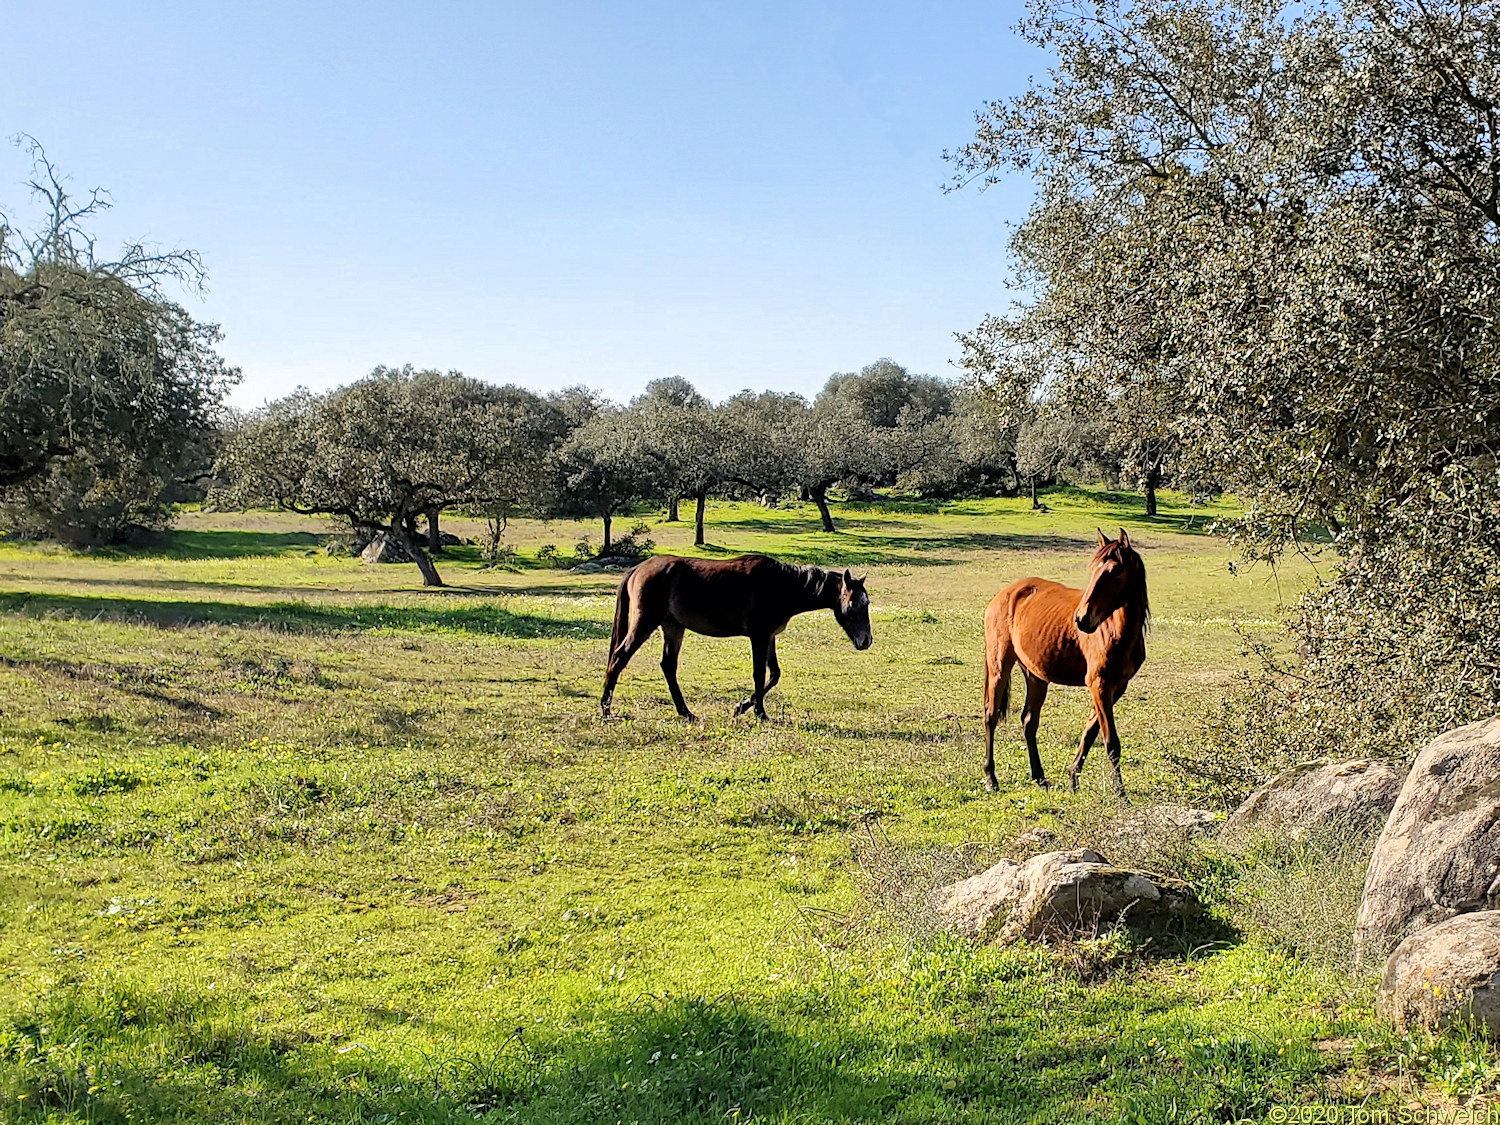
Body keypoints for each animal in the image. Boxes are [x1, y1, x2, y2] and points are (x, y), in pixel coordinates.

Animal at [600, 555, 876, 723]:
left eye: (867, 603)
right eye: (853, 604)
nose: (866, 641)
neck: (780, 585)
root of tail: (638, 568)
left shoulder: (769, 637)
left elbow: (774, 674)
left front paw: (743, 706)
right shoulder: (759, 636)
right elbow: (760, 674)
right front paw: (759, 713)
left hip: (673, 627)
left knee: (668, 666)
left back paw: (686, 713)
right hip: (645, 624)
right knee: (619, 657)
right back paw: (605, 710)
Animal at [984, 534, 1146, 798]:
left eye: (1115, 571)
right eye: (1093, 569)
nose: (1082, 619)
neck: (1115, 631)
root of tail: (1005, 594)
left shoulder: (1116, 687)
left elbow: (1090, 733)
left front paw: (1073, 778)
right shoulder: (1099, 685)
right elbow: (1111, 742)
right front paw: (1121, 794)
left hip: (1035, 676)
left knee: (1029, 721)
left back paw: (1039, 777)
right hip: (999, 666)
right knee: (991, 715)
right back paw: (991, 778)